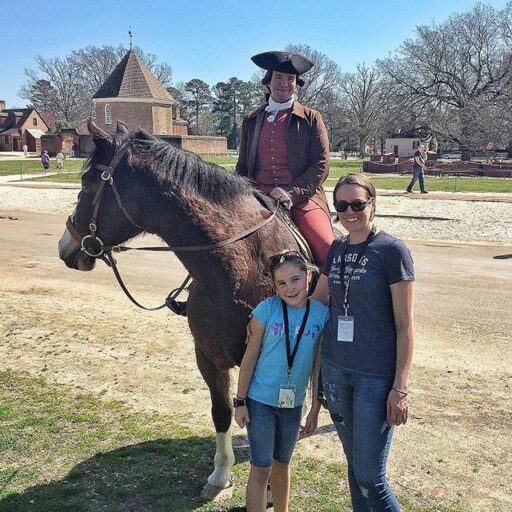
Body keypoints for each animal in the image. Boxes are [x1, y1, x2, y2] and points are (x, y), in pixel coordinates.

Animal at [57, 120, 304, 496]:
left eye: (87, 184)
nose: (65, 247)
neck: (237, 269)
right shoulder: (208, 357)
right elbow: (222, 411)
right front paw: (220, 473)